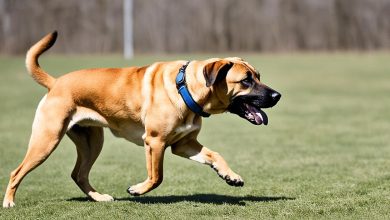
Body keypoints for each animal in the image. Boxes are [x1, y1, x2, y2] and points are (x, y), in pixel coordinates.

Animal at [1, 31, 278, 208]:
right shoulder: (155, 142)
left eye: (258, 76)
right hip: (47, 139)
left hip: (92, 141)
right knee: (17, 171)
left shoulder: (183, 144)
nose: (277, 95)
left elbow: (215, 155)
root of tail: (56, 82)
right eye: (246, 81)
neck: (186, 87)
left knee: (78, 174)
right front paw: (137, 189)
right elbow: (157, 177)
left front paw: (230, 176)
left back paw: (99, 198)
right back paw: (9, 202)